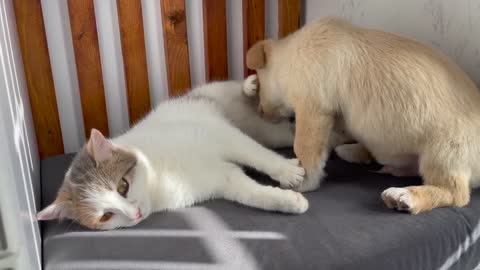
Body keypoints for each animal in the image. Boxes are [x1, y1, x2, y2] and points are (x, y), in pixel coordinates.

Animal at [36, 78, 308, 230]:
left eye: (123, 186)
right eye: (105, 216)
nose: (134, 215)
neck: (158, 176)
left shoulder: (222, 135)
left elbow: (257, 155)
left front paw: (287, 171)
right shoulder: (221, 180)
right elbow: (252, 195)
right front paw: (288, 201)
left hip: (217, 99)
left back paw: (249, 86)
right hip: (268, 132)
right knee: (285, 133)